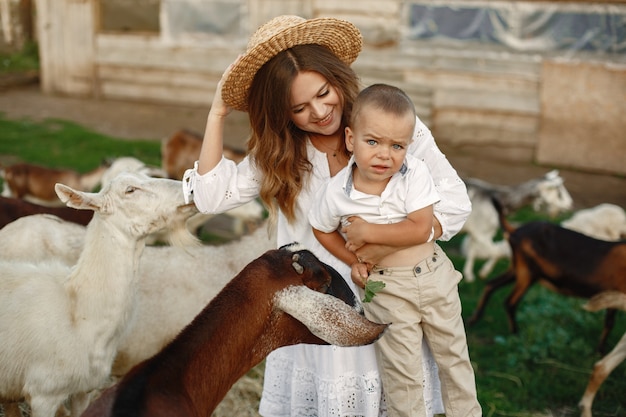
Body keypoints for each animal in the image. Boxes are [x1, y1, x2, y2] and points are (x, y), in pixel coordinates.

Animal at [468, 197, 624, 352]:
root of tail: (514, 231)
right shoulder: (616, 292)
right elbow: (610, 323)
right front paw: (600, 351)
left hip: (517, 268)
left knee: (490, 285)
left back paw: (473, 320)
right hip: (528, 272)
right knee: (510, 302)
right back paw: (516, 334)